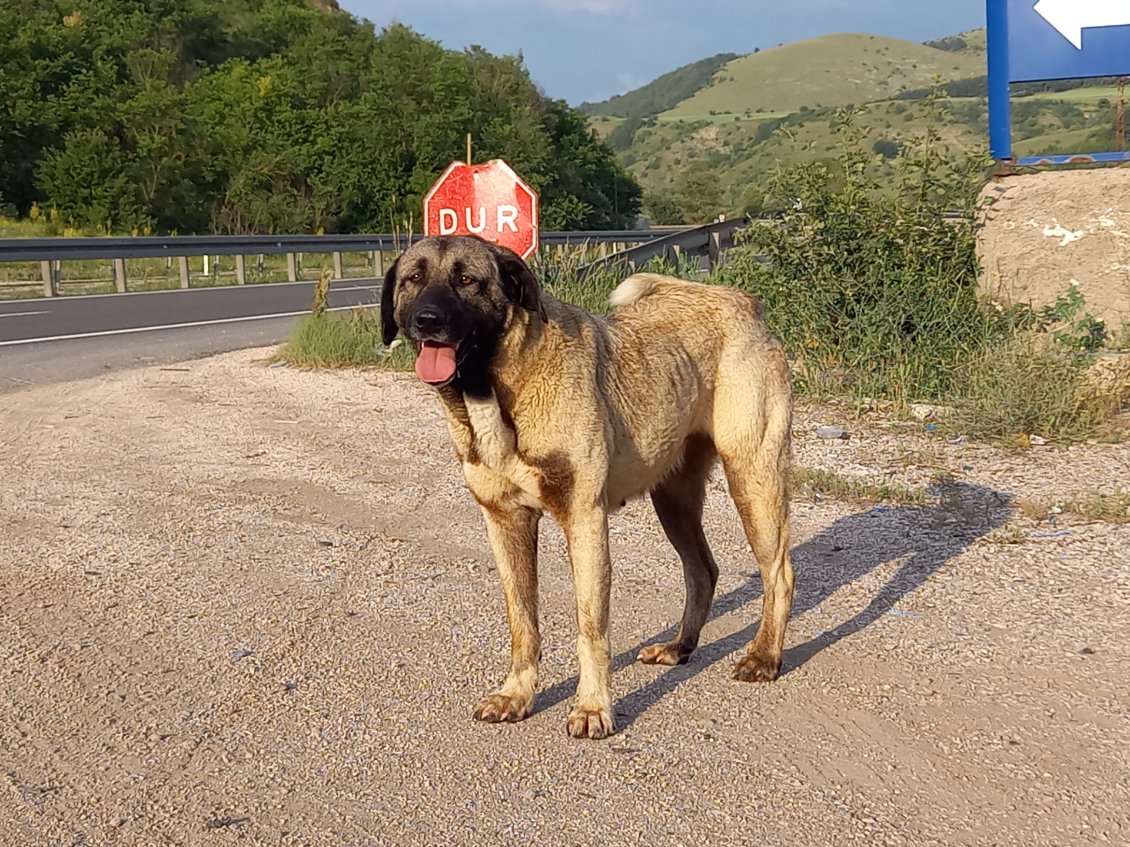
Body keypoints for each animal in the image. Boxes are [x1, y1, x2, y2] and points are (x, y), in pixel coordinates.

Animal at [379, 236, 795, 740]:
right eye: (412, 279)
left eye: (466, 279)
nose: (427, 320)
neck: (500, 391)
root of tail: (739, 301)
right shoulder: (506, 524)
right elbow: (523, 622)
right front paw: (517, 694)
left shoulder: (584, 520)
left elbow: (591, 628)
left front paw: (593, 707)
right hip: (673, 500)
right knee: (702, 570)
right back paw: (679, 647)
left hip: (753, 479)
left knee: (779, 574)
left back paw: (765, 656)